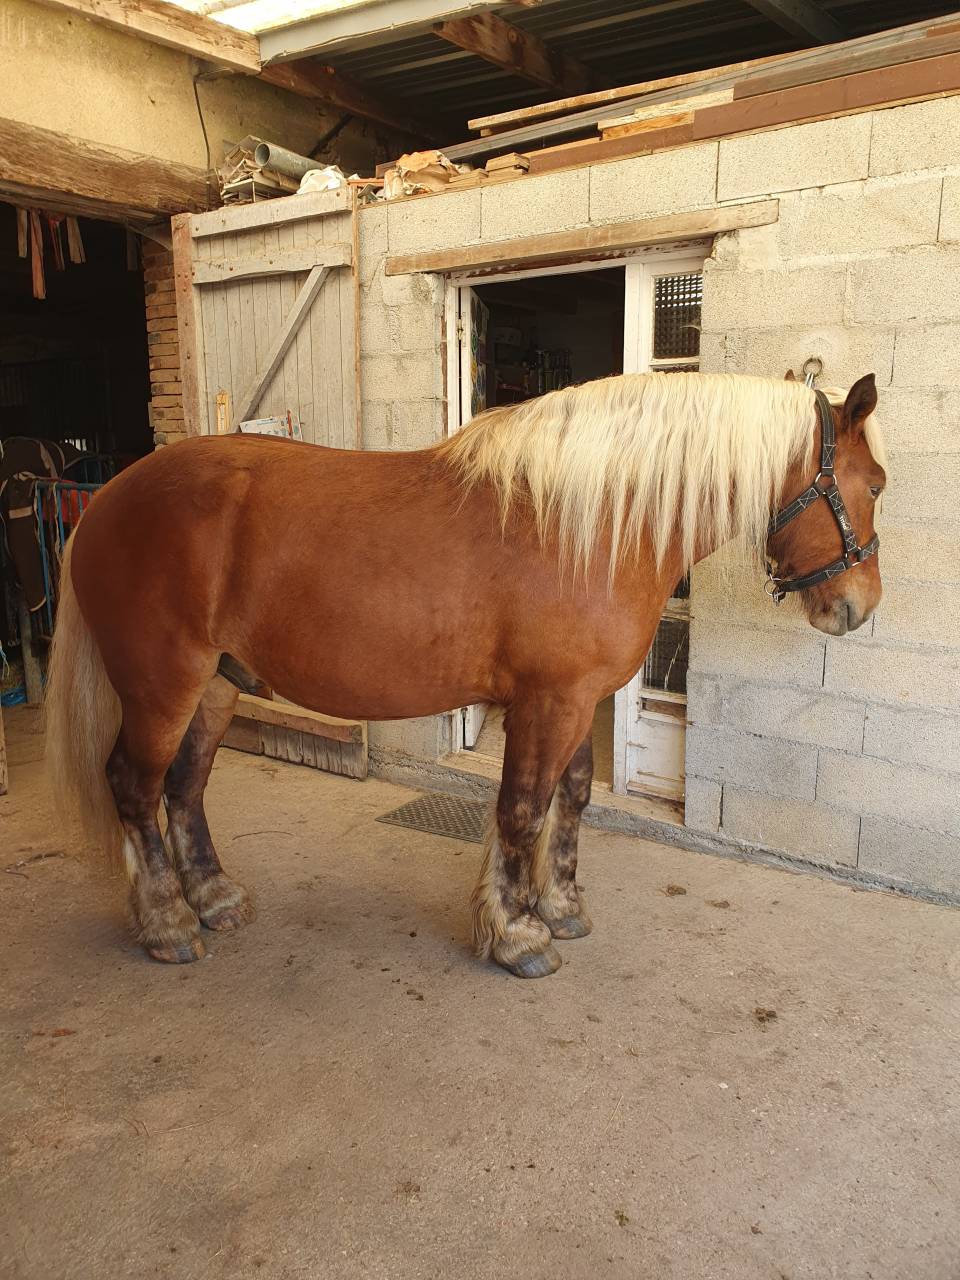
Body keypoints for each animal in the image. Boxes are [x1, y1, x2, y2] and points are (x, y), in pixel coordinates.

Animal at [44, 371, 887, 979]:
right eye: (874, 482)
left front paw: (560, 907)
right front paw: (518, 935)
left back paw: (214, 898)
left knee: (184, 788)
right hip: (163, 685)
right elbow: (521, 810)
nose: (857, 607)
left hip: (217, 685)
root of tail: (107, 499)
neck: (592, 526)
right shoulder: (547, 703)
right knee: (135, 787)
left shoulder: (577, 699)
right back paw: (167, 923)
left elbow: (570, 801)